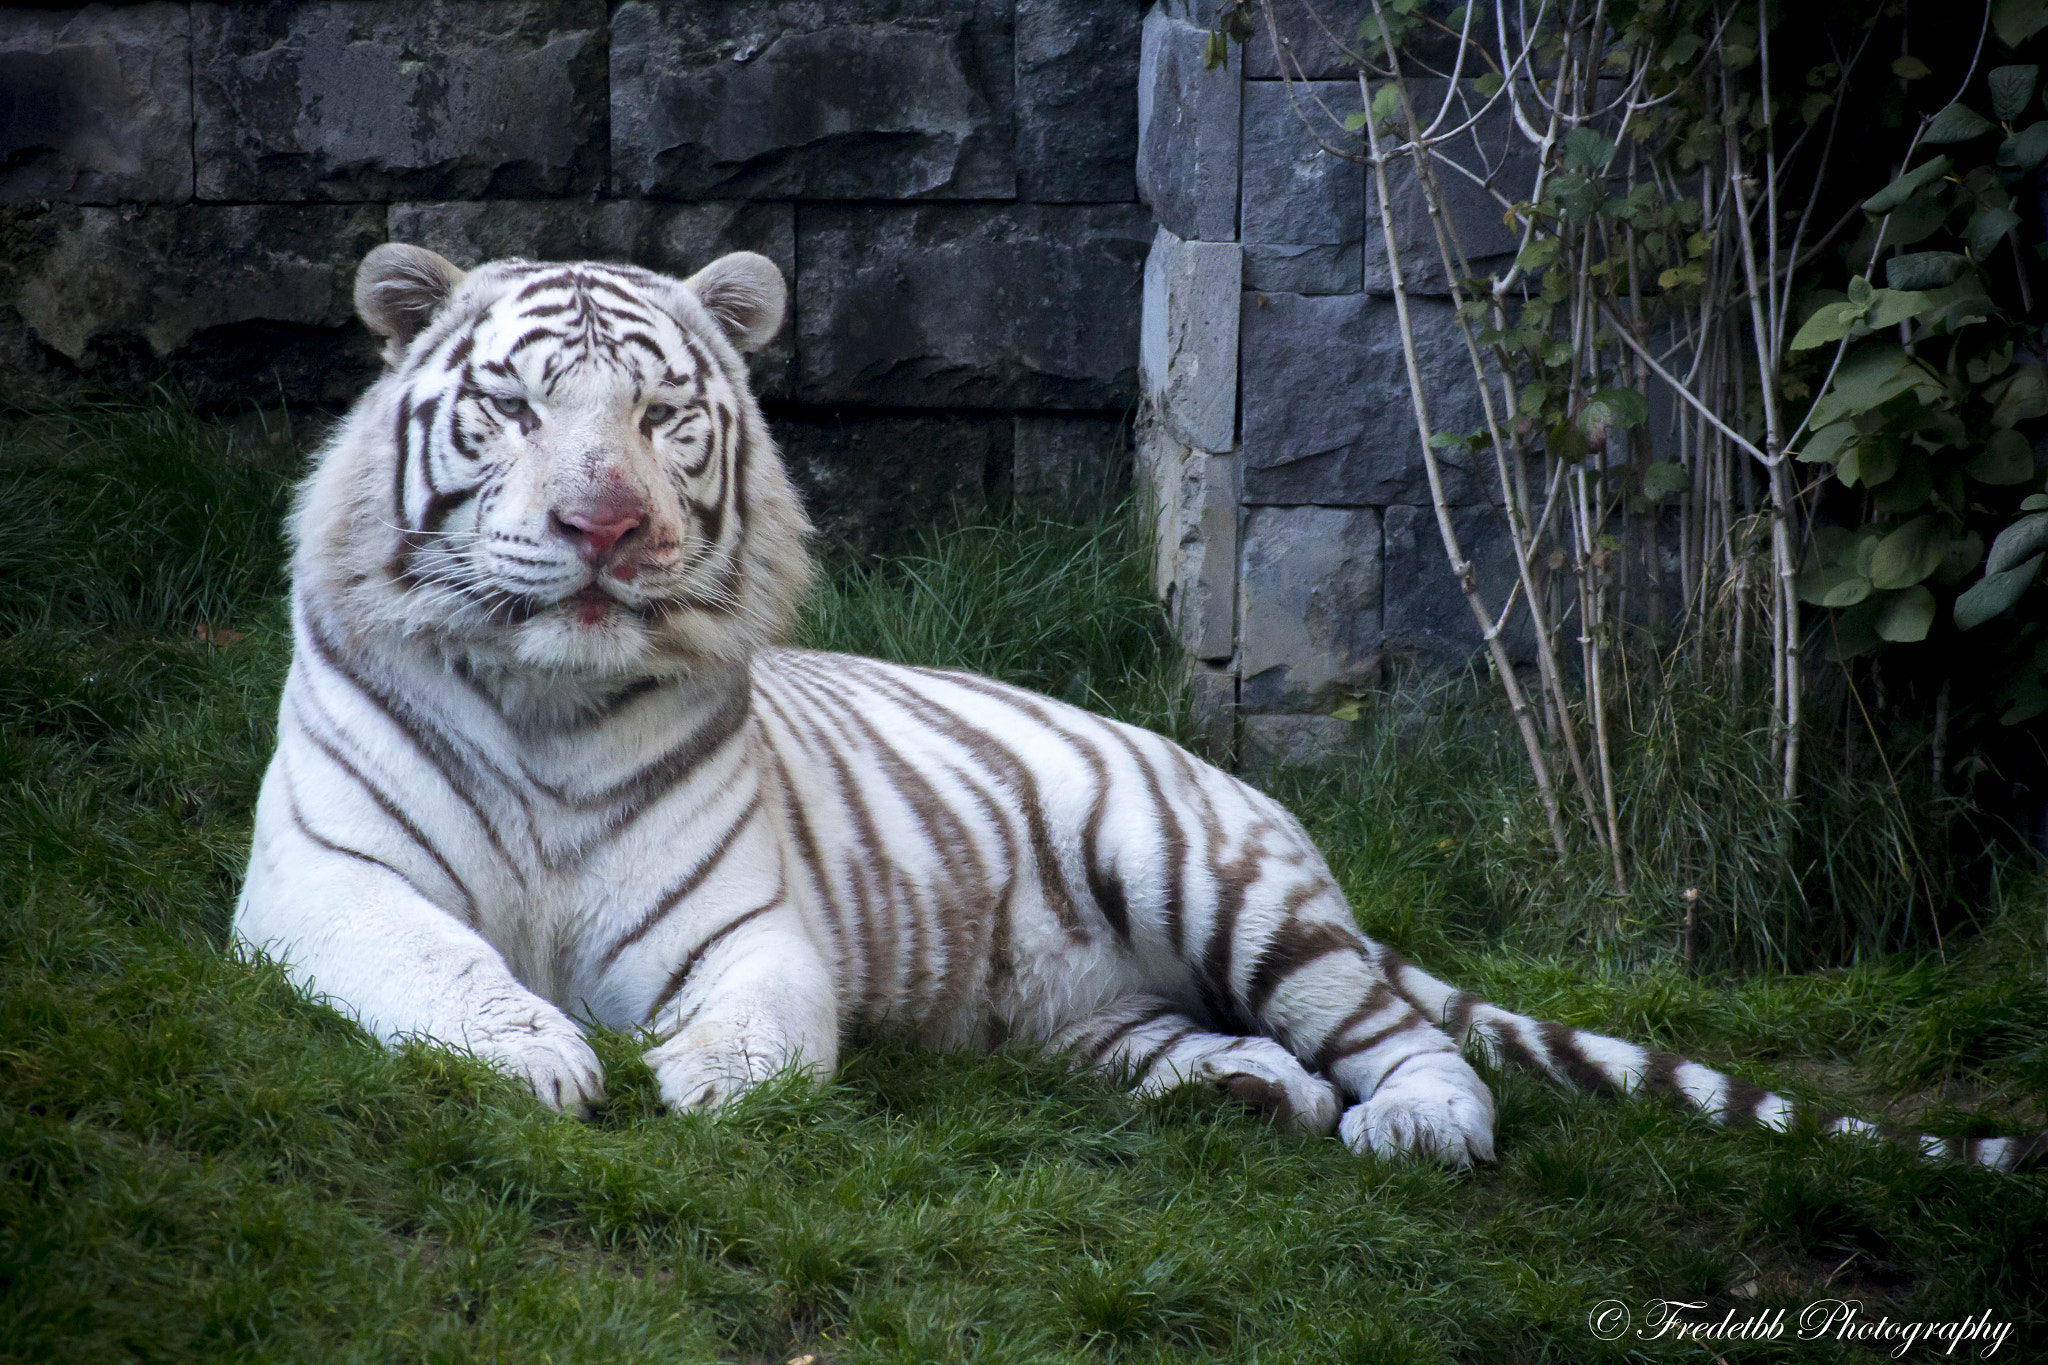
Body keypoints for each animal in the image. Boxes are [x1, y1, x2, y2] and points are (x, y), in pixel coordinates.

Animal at [239, 245, 2048, 1178]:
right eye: (512, 406)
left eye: (661, 415)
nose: (606, 526)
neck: (545, 705)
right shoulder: (323, 884)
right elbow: (440, 967)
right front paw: (543, 1056)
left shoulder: (745, 923)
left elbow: (767, 1024)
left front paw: (706, 1082)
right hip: (1100, 1007)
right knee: (1236, 1055)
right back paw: (1244, 1097)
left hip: (1231, 894)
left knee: (1398, 1043)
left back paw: (1412, 1128)